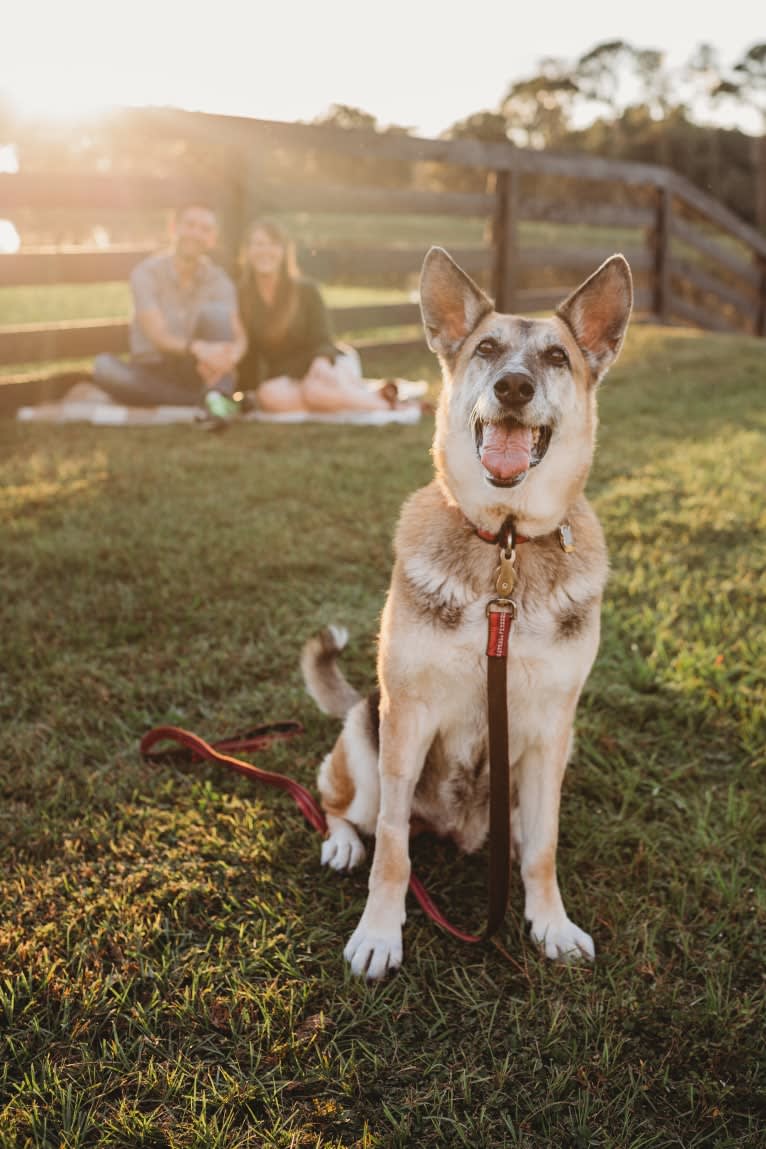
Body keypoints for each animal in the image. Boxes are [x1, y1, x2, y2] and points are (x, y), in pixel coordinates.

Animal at [303, 247, 633, 974]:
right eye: (486, 348)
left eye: (557, 357)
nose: (512, 388)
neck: (505, 544)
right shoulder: (406, 721)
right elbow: (393, 850)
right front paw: (379, 933)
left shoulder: (549, 734)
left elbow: (544, 847)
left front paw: (550, 922)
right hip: (366, 742)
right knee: (337, 803)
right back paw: (342, 841)